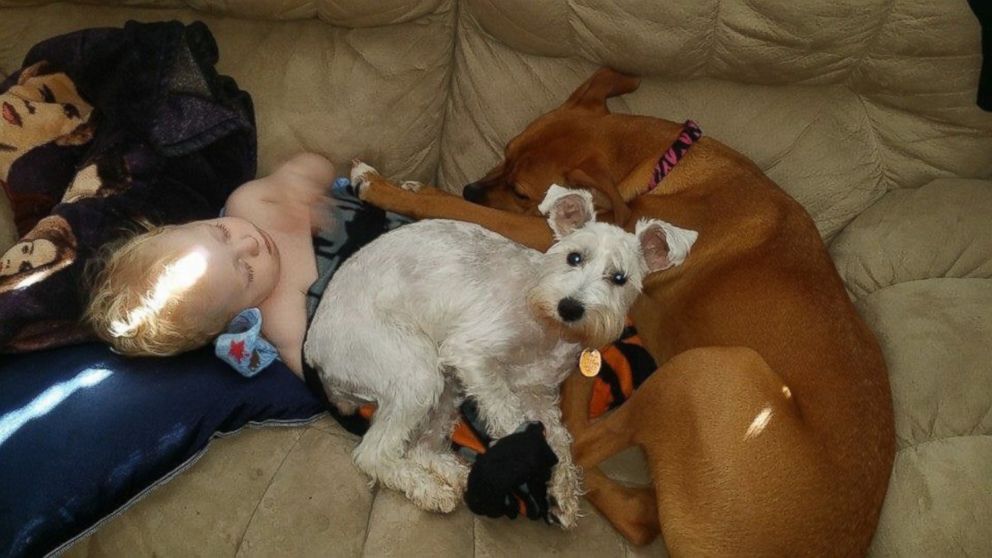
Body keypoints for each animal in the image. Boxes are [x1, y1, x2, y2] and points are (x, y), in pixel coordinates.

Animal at [302, 170, 696, 528]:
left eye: (619, 278)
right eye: (574, 258)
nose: (570, 307)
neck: (549, 326)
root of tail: (313, 349)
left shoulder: (539, 395)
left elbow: (562, 439)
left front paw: (564, 495)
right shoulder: (472, 356)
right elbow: (513, 419)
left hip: (446, 389)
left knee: (420, 447)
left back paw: (457, 474)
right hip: (418, 373)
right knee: (374, 454)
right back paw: (432, 490)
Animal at [352, 68, 896, 556]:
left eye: (523, 191)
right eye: (503, 153)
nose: (468, 186)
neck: (662, 168)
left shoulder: (548, 229)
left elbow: (475, 215)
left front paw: (388, 188)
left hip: (710, 369)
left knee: (575, 441)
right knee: (637, 515)